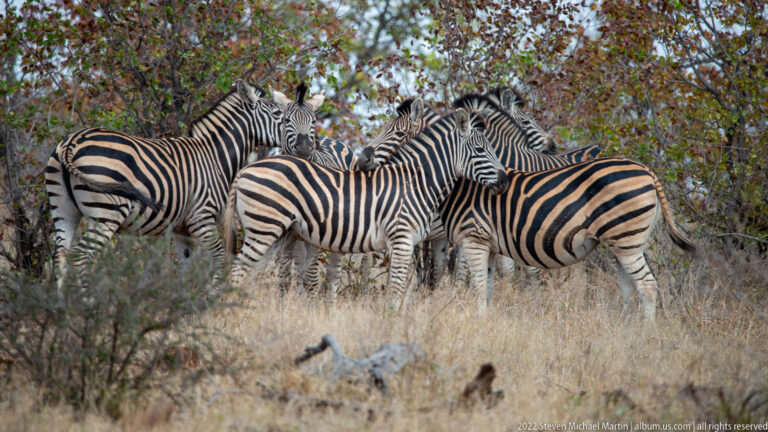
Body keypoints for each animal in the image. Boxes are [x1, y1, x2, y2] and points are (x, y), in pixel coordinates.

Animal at [45, 80, 284, 292]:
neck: (215, 156)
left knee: (60, 255)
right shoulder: (201, 216)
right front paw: (213, 296)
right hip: (105, 213)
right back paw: (87, 304)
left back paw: (62, 306)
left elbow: (185, 267)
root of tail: (71, 142)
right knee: (81, 256)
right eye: (278, 114)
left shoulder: (182, 229)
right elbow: (218, 256)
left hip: (63, 208)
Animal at [222, 108, 509, 308]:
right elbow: (396, 290)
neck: (416, 182)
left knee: (248, 273)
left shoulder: (408, 242)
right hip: (264, 227)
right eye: (480, 150)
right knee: (238, 270)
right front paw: (390, 325)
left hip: (277, 232)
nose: (505, 181)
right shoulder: (402, 239)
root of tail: (247, 168)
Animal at [440, 157, 696, 319]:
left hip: (626, 239)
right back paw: (626, 331)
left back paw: (645, 333)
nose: (501, 185)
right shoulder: (488, 245)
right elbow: (487, 286)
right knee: (629, 288)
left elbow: (475, 284)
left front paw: (476, 319)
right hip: (624, 244)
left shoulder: (473, 238)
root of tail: (648, 171)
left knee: (647, 285)